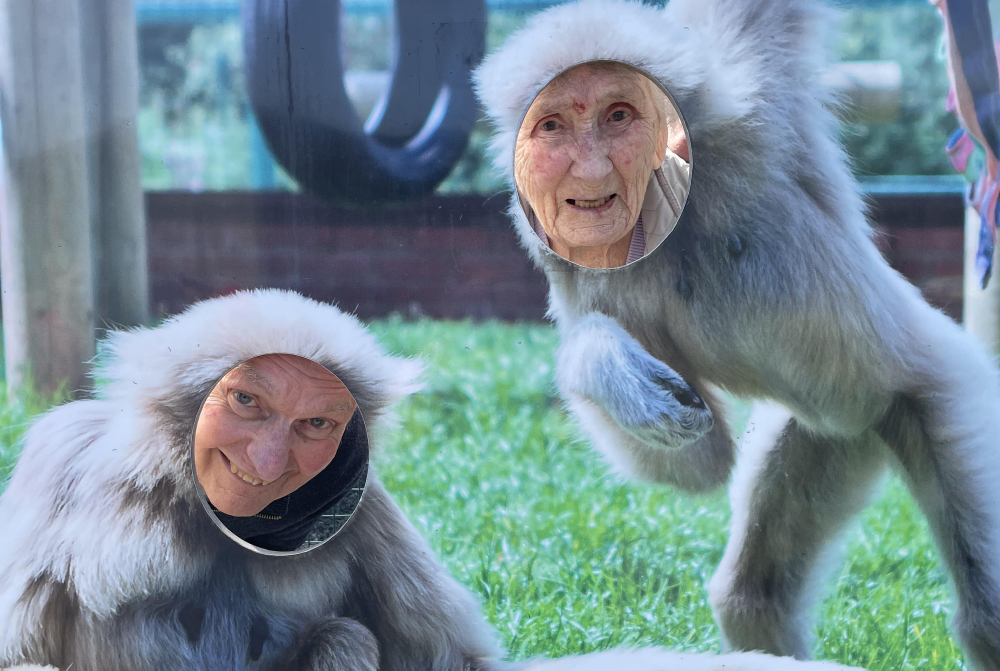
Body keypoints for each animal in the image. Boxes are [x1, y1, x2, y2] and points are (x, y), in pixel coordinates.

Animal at [473, 0, 1000, 668]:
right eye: (553, 125)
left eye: (616, 116)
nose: (588, 167)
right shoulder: (566, 263)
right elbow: (700, 462)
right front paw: (610, 368)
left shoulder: (750, 106)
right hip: (833, 433)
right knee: (753, 594)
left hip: (945, 393)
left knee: (987, 612)